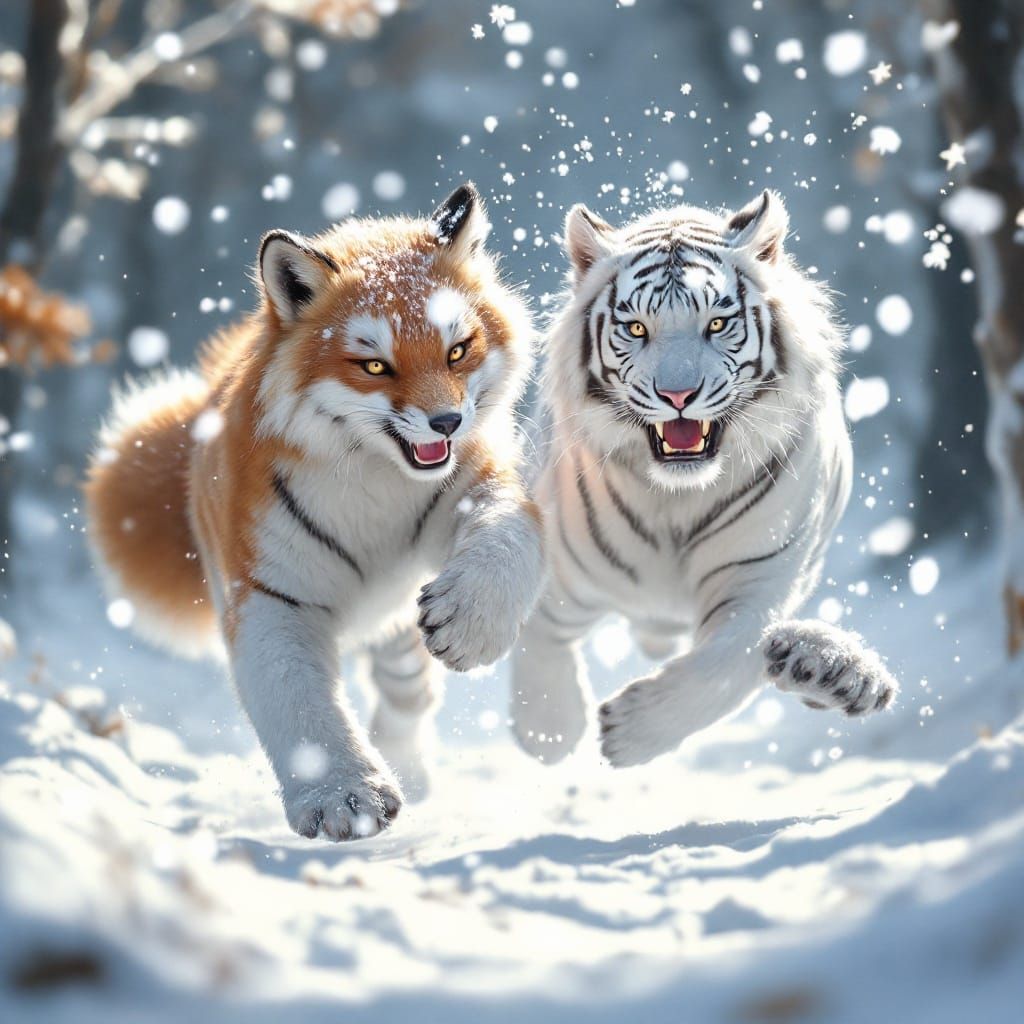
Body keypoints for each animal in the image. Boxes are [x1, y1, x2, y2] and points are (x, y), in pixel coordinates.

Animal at [85, 184, 545, 841]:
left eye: (457, 351)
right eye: (375, 365)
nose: (447, 422)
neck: (373, 480)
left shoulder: (476, 487)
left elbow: (507, 535)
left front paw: (471, 624)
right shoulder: (271, 594)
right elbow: (297, 701)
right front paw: (345, 800)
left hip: (397, 626)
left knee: (407, 691)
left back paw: (411, 768)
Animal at [509, 189, 898, 768]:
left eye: (716, 324)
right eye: (636, 328)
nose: (678, 395)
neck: (677, 496)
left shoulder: (757, 582)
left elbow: (727, 667)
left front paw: (628, 731)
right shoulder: (561, 573)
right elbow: (539, 637)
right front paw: (551, 729)